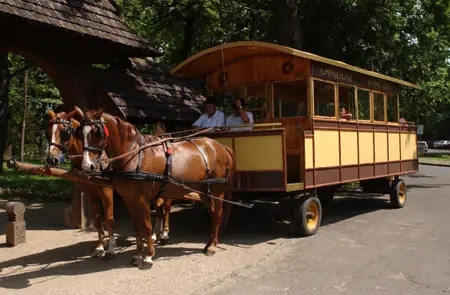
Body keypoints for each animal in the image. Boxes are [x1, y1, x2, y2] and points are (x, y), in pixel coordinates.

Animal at [44, 110, 116, 260]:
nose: (51, 159)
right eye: (47, 131)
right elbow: (97, 220)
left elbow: (109, 219)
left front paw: (111, 248)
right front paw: (100, 247)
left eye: (64, 132)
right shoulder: (91, 194)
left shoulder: (106, 192)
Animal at [71, 108, 234, 270]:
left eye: (96, 133)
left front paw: (148, 256)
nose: (87, 166)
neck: (134, 155)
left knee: (218, 214)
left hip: (217, 190)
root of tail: (221, 147)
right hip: (204, 191)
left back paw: (212, 246)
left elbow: (147, 226)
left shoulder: (142, 198)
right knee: (212, 214)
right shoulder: (129, 198)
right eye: (80, 134)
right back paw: (209, 243)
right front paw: (137, 255)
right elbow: (136, 225)